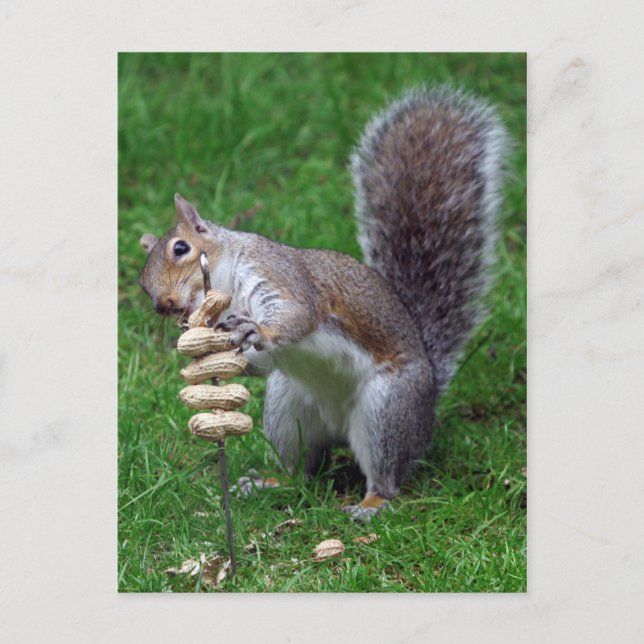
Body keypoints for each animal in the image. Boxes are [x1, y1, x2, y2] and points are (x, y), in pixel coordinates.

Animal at [139, 86, 508, 520]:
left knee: (386, 474)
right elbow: (256, 363)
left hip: (386, 409)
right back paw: (268, 483)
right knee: (303, 469)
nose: (163, 305)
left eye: (181, 248)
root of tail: (430, 396)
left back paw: (371, 504)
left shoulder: (281, 275)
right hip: (287, 407)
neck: (227, 287)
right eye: (142, 284)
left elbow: (298, 314)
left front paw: (255, 328)